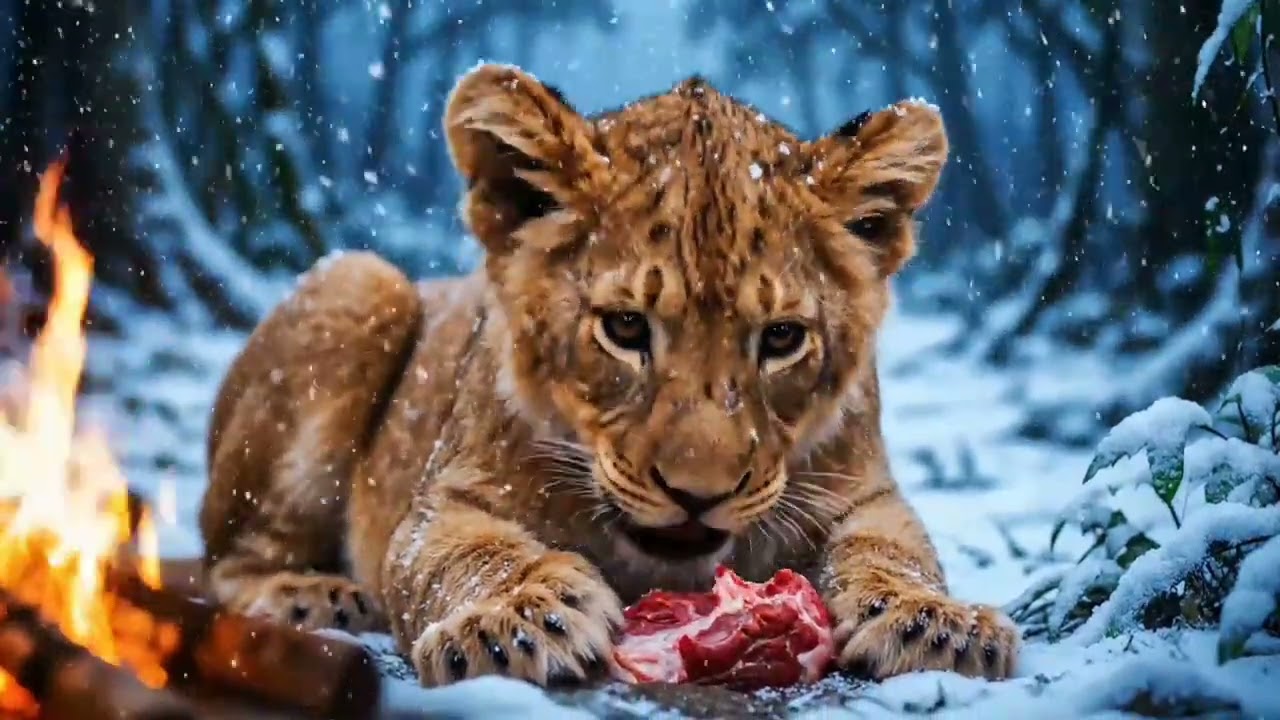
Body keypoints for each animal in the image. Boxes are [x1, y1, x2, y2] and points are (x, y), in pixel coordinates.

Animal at [198, 63, 1020, 688]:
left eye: (782, 338)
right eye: (625, 328)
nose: (698, 494)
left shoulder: (868, 493)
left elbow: (894, 551)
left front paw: (936, 623)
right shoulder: (442, 503)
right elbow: (472, 556)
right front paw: (517, 619)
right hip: (362, 282)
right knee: (226, 557)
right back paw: (317, 598)